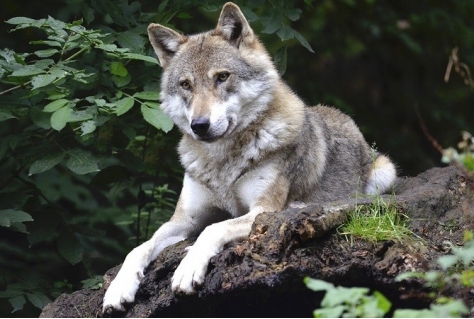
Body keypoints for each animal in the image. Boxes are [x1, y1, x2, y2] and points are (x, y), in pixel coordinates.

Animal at [103, 1, 396, 312]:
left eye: (222, 77)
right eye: (185, 85)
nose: (199, 125)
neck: (222, 163)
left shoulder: (261, 210)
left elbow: (213, 229)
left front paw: (187, 268)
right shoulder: (184, 219)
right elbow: (139, 248)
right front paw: (118, 288)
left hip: (384, 172)